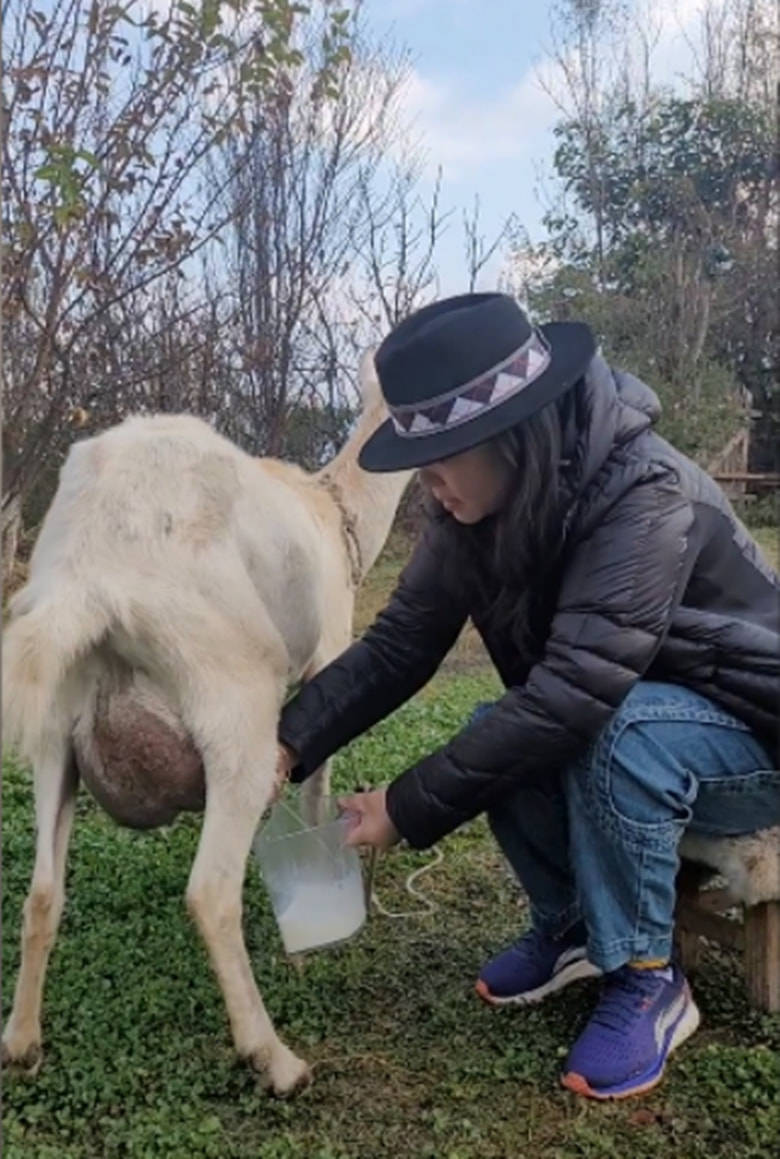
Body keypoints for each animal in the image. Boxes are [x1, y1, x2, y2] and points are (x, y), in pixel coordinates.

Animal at [0, 352, 410, 1094]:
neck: (335, 511)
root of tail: (88, 576)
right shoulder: (328, 652)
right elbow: (316, 791)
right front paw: (311, 923)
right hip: (231, 687)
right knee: (212, 891)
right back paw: (274, 1057)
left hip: (53, 728)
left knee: (43, 889)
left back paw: (20, 1043)